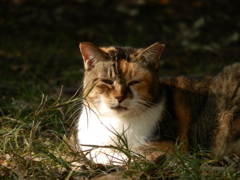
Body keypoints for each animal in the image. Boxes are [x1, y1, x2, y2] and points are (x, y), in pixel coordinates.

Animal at [77, 41, 240, 165]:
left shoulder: (167, 150)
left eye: (134, 82)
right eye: (107, 81)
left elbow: (118, 155)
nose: (120, 97)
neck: (114, 121)